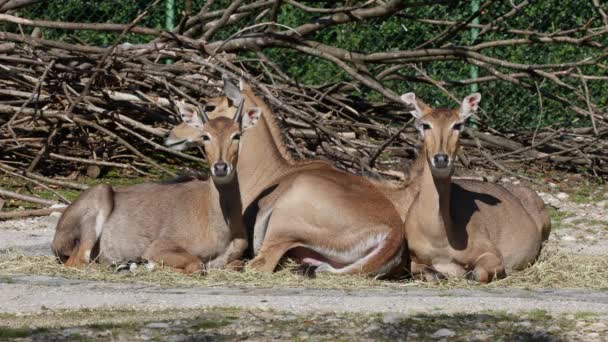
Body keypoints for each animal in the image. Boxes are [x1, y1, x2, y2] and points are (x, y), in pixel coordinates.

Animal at [50, 100, 254, 274]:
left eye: (237, 135)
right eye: (205, 135)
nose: (220, 167)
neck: (221, 226)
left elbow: (238, 264)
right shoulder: (159, 247)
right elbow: (196, 264)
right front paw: (150, 265)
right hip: (98, 199)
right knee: (79, 262)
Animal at [400, 93, 548, 284]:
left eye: (458, 125)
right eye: (425, 124)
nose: (441, 158)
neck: (438, 236)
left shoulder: (491, 253)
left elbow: (477, 274)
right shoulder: (413, 259)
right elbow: (429, 273)